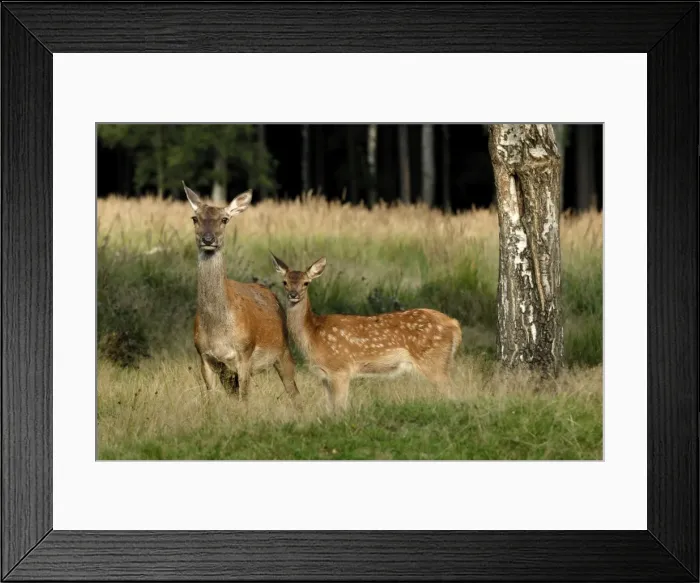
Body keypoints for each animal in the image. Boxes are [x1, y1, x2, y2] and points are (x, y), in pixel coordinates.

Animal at [183, 183, 301, 407]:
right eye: (195, 218)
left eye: (224, 219)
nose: (208, 239)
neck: (219, 332)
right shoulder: (204, 356)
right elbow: (211, 399)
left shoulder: (244, 353)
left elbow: (245, 399)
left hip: (283, 350)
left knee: (294, 391)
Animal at [269, 253, 462, 410]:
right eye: (285, 282)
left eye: (306, 283)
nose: (293, 294)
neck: (312, 335)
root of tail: (454, 324)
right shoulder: (324, 375)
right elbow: (330, 410)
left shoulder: (341, 369)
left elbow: (340, 409)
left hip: (433, 361)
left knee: (454, 394)